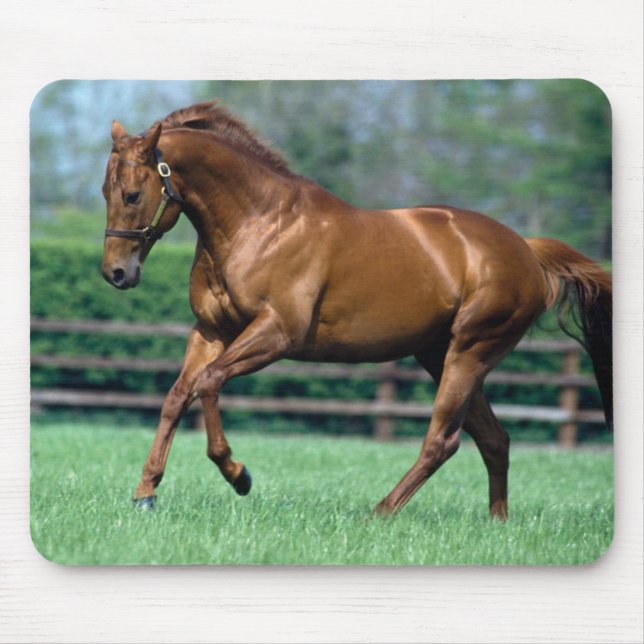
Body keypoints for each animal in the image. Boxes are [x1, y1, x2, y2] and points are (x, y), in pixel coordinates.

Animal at [102, 100, 612, 519]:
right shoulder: (210, 331)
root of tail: (526, 250)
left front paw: (238, 474)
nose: (116, 273)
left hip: (470, 353)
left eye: (132, 195)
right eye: (106, 192)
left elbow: (208, 383)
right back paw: (495, 523)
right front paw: (145, 493)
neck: (258, 223)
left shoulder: (275, 334)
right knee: (494, 439)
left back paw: (380, 513)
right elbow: (176, 396)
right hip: (439, 355)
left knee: (442, 441)